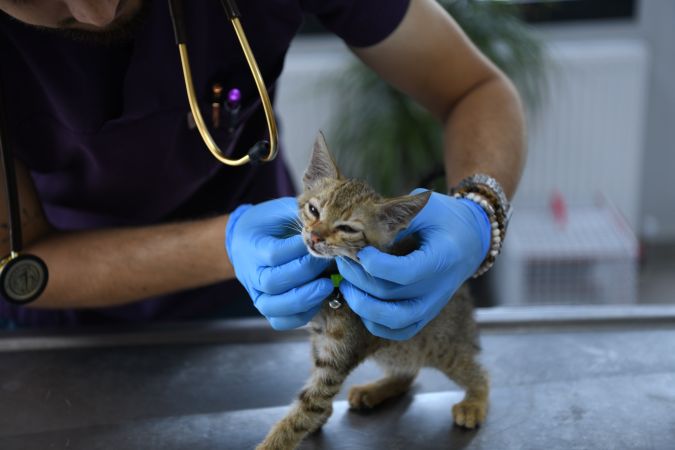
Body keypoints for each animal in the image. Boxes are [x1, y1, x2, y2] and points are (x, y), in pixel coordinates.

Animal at [256, 134, 488, 450]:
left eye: (346, 228)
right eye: (314, 210)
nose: (314, 236)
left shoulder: (336, 358)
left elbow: (305, 408)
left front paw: (275, 442)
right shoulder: (319, 341)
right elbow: (313, 390)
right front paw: (320, 418)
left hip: (439, 345)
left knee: (478, 371)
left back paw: (475, 401)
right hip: (396, 344)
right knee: (408, 371)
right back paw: (377, 390)